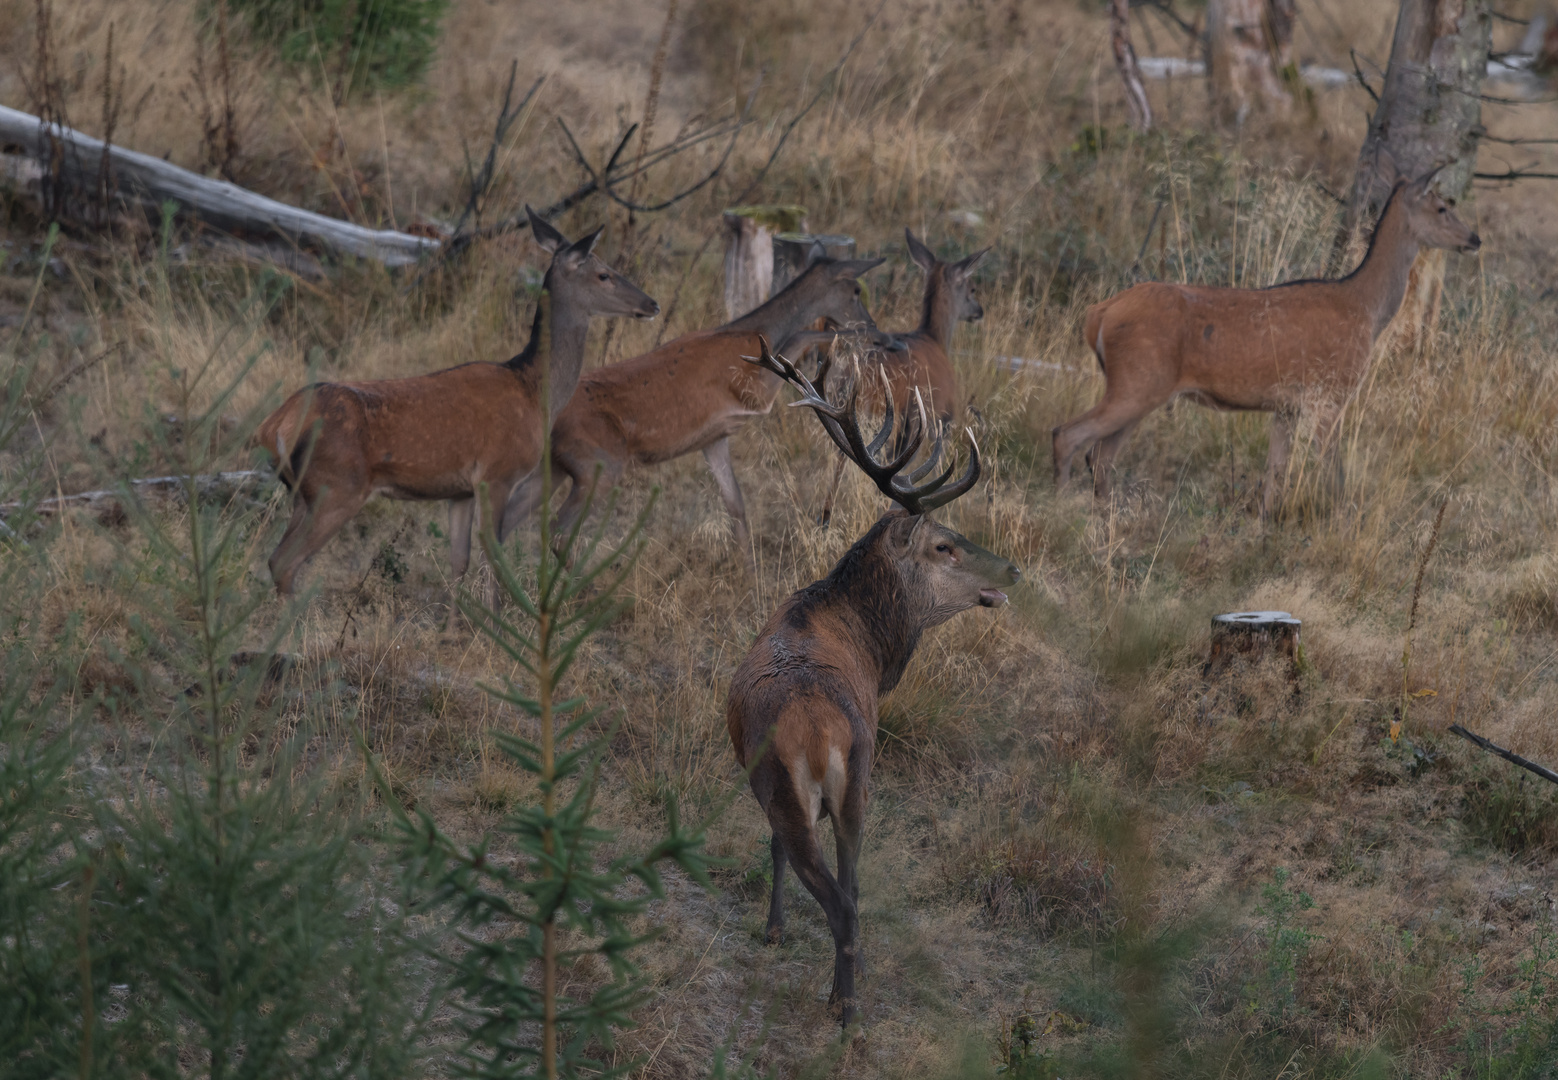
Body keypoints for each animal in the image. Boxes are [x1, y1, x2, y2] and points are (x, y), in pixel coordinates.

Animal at [729, 336, 1022, 1028]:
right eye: (945, 545)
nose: (1015, 571)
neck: (871, 647)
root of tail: (817, 736)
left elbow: (774, 849)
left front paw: (774, 930)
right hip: (856, 778)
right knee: (850, 890)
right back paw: (849, 989)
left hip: (803, 786)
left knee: (837, 894)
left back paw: (843, 1005)